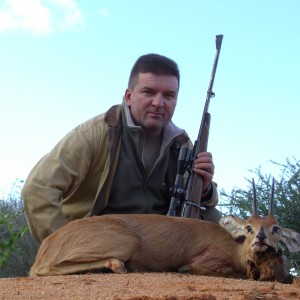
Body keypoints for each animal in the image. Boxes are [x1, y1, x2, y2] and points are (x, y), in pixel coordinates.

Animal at [30, 179, 300, 282]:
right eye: (249, 227)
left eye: (275, 228)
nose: (261, 239)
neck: (234, 249)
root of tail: (48, 245)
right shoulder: (204, 263)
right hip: (128, 241)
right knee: (42, 270)